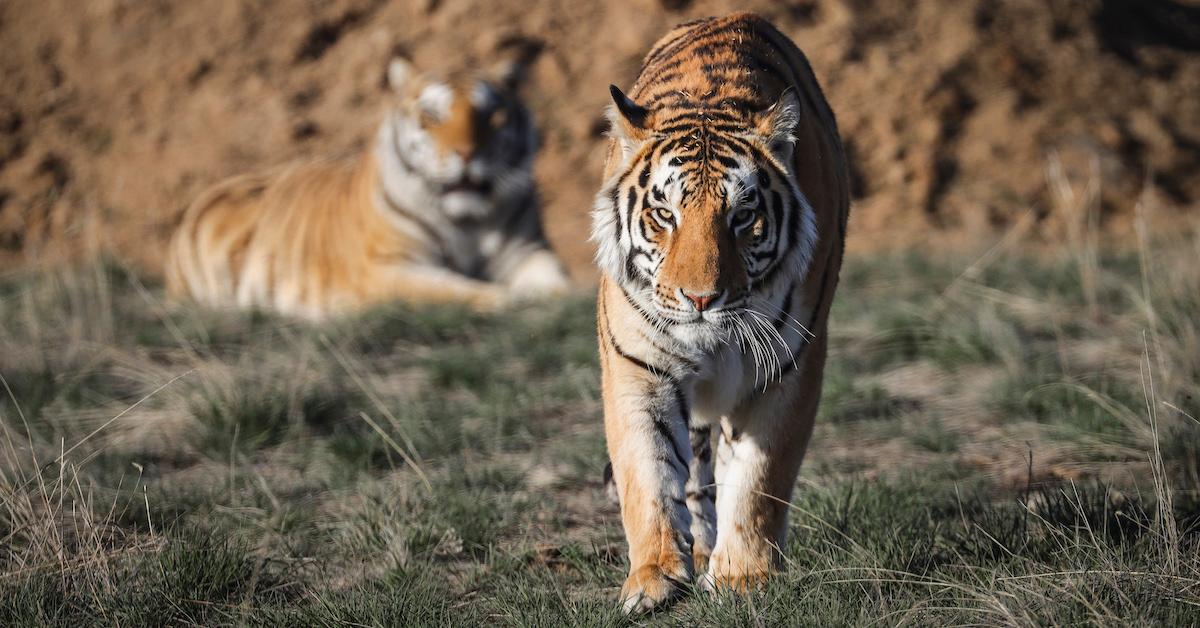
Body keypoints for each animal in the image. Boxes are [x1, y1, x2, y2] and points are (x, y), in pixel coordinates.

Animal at [165, 54, 571, 319]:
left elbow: (557, 280)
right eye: (431, 116)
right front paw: (510, 299)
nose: (468, 153)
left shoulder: (528, 252)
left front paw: (561, 297)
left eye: (492, 115)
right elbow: (447, 289)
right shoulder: (386, 268)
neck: (468, 221)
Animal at [592, 12, 854, 612]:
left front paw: (743, 576)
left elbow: (760, 479)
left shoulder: (788, 369)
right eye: (664, 214)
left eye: (743, 216)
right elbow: (647, 475)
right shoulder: (637, 369)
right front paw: (653, 578)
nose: (700, 299)